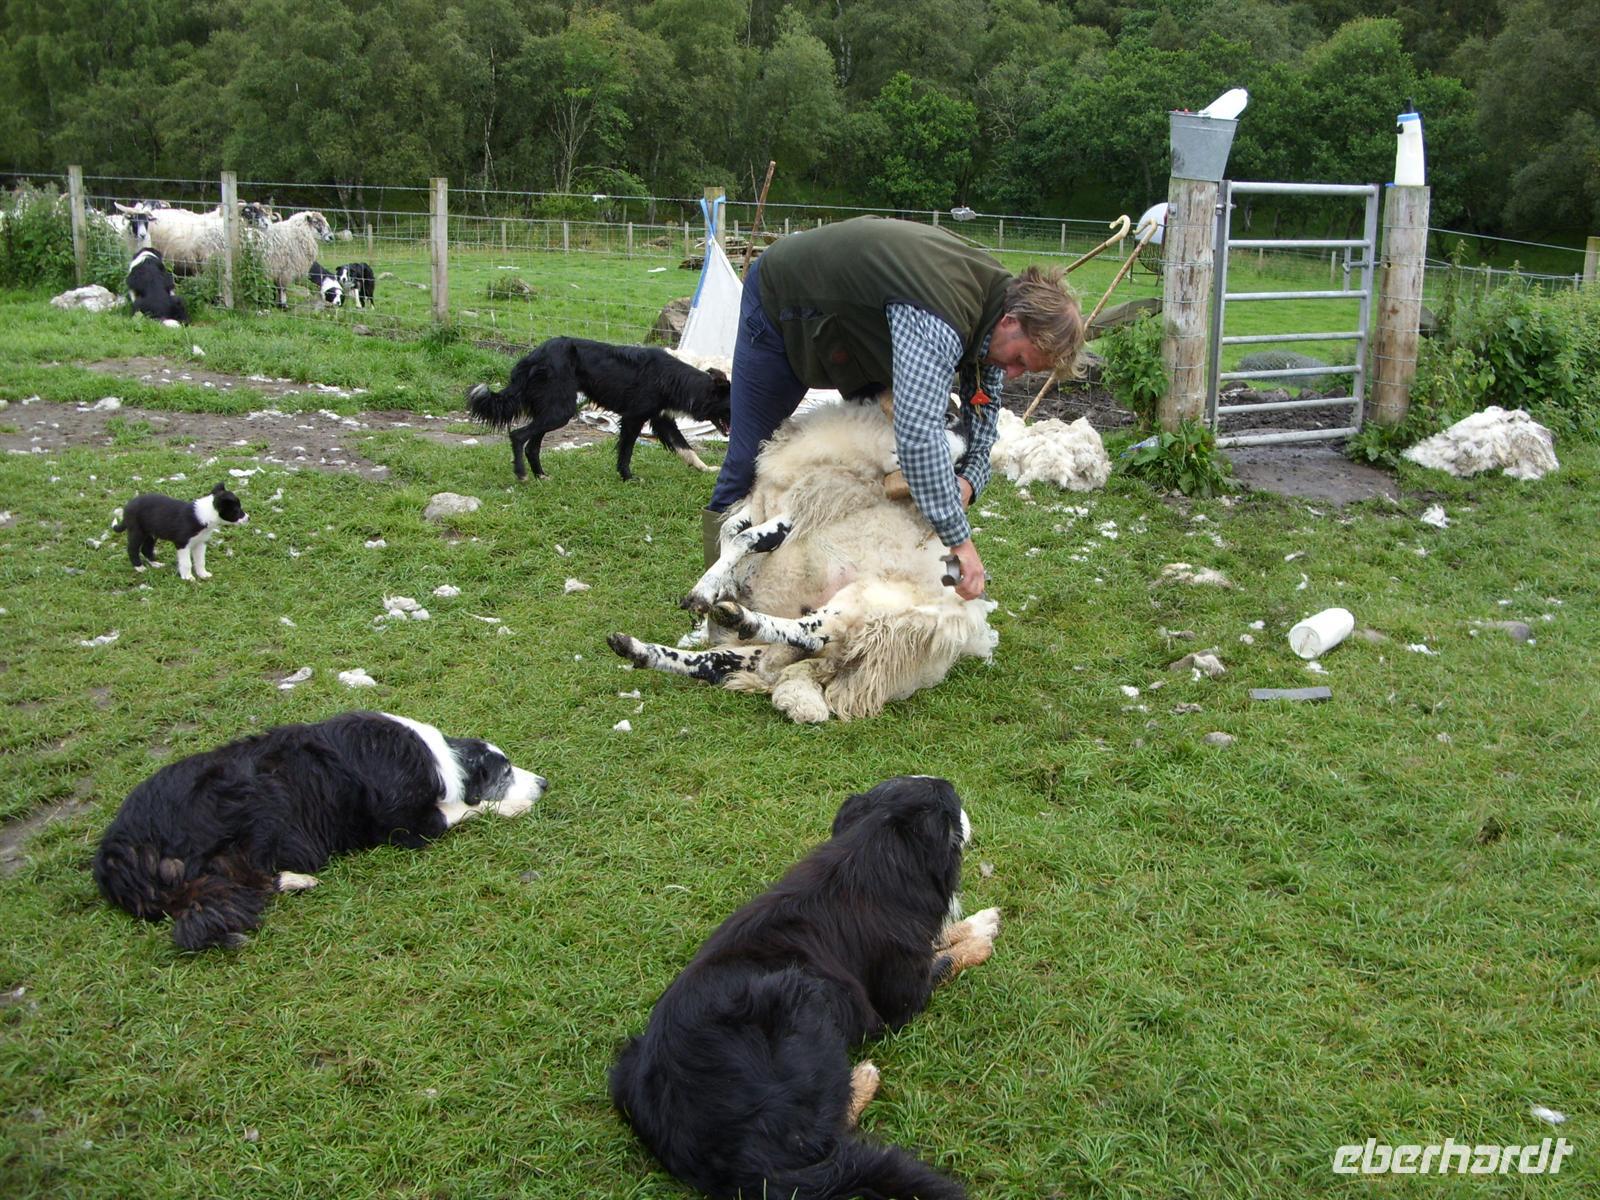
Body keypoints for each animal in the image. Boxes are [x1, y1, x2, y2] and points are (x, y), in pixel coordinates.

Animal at [93, 711, 547, 950]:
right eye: (506, 771)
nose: (544, 783)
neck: (442, 761)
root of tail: (115, 856)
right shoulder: (406, 825)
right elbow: (465, 810)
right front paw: (513, 805)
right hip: (252, 808)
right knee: (248, 880)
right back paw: (299, 879)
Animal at [112, 482, 248, 580]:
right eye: (236, 510)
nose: (248, 518)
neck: (206, 514)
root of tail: (127, 506)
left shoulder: (200, 543)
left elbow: (200, 561)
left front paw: (203, 574)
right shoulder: (182, 544)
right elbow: (187, 562)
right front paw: (188, 577)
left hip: (151, 534)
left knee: (146, 549)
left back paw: (156, 564)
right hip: (137, 531)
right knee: (132, 549)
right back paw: (139, 567)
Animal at [467, 336, 732, 481]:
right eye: (730, 407)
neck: (673, 379)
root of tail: (533, 356)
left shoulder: (662, 419)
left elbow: (686, 448)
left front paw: (705, 469)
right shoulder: (634, 417)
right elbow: (626, 451)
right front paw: (627, 477)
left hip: (552, 409)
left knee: (532, 445)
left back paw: (541, 475)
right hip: (560, 410)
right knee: (517, 435)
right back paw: (522, 474)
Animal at [609, 400, 997, 723]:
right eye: (949, 422)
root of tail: (964, 633)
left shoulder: (799, 511)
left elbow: (747, 539)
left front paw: (706, 593)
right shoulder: (762, 501)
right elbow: (730, 533)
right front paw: (718, 585)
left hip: (874, 604)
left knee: (813, 633)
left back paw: (740, 618)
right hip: (788, 646)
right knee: (717, 663)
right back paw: (638, 649)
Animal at [609, 776, 1000, 1199]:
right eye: (953, 805)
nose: (963, 800)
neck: (872, 850)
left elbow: (942, 940)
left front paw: (980, 921)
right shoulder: (901, 996)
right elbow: (943, 961)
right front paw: (978, 941)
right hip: (800, 995)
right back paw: (861, 1076)